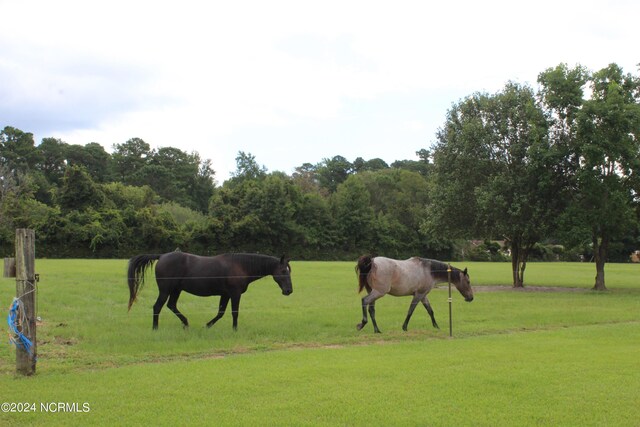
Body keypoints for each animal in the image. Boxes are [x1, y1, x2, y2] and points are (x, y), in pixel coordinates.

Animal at [127, 254, 292, 332]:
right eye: (283, 271)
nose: (289, 290)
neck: (240, 266)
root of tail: (161, 256)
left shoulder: (225, 295)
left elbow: (220, 313)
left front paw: (207, 326)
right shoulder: (235, 294)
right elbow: (234, 312)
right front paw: (235, 329)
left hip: (176, 290)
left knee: (171, 306)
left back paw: (186, 324)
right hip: (166, 290)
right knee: (157, 307)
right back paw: (155, 328)